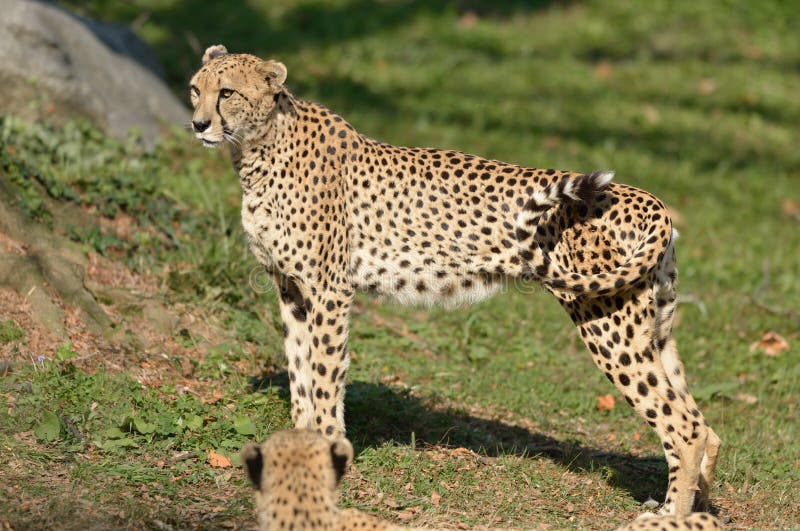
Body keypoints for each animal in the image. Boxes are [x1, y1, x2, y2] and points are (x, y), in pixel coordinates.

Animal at [191, 43, 720, 516]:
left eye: (227, 93)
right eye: (196, 89)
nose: (197, 124)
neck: (258, 149)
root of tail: (646, 197)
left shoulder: (328, 292)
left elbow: (323, 375)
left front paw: (324, 449)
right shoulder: (291, 290)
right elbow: (300, 371)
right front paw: (302, 442)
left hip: (608, 323)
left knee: (683, 427)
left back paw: (669, 515)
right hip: (652, 327)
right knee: (702, 424)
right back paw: (696, 507)